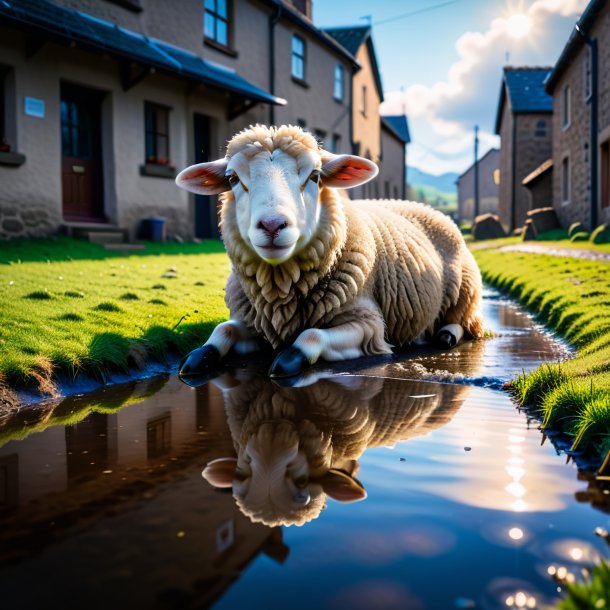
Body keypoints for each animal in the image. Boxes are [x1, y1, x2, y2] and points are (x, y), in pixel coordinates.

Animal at [173, 125, 482, 378]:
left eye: (314, 176)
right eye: (233, 179)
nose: (272, 225)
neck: (281, 293)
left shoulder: (370, 326)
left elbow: (311, 336)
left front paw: (288, 360)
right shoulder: (257, 322)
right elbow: (222, 329)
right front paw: (197, 358)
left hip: (465, 291)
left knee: (463, 323)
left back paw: (445, 336)